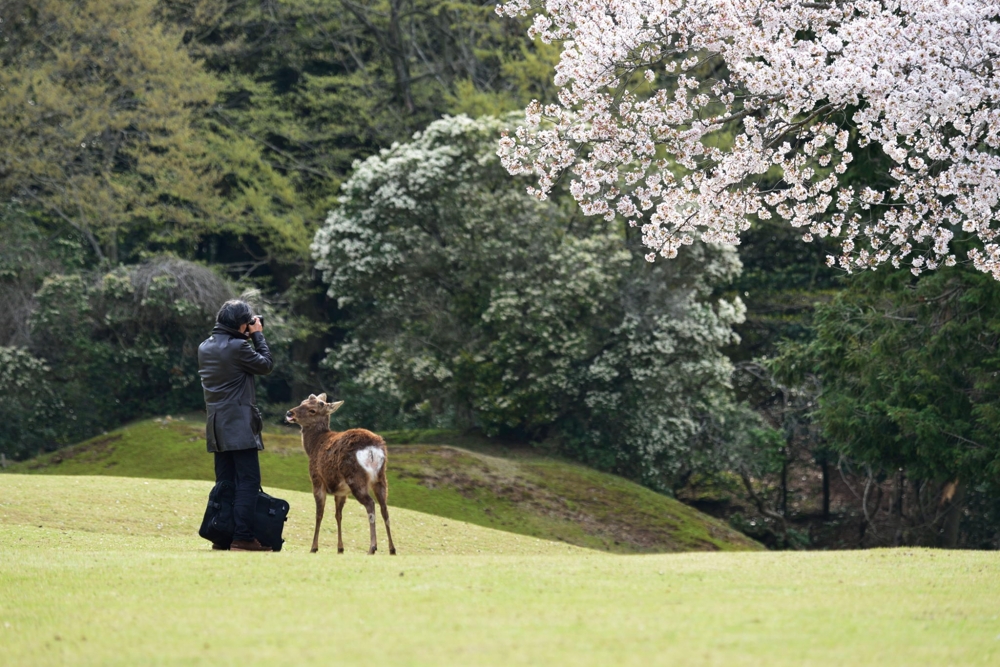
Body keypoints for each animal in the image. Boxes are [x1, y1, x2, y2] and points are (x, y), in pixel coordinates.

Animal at [284, 394, 396, 556]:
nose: (289, 413)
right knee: (384, 508)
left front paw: (314, 547)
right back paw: (392, 549)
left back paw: (372, 548)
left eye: (312, 410)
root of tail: (372, 449)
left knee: (370, 504)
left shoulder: (317, 479)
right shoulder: (341, 491)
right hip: (381, 478)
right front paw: (340, 548)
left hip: (356, 477)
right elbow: (338, 515)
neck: (312, 447)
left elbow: (319, 513)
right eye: (302, 402)